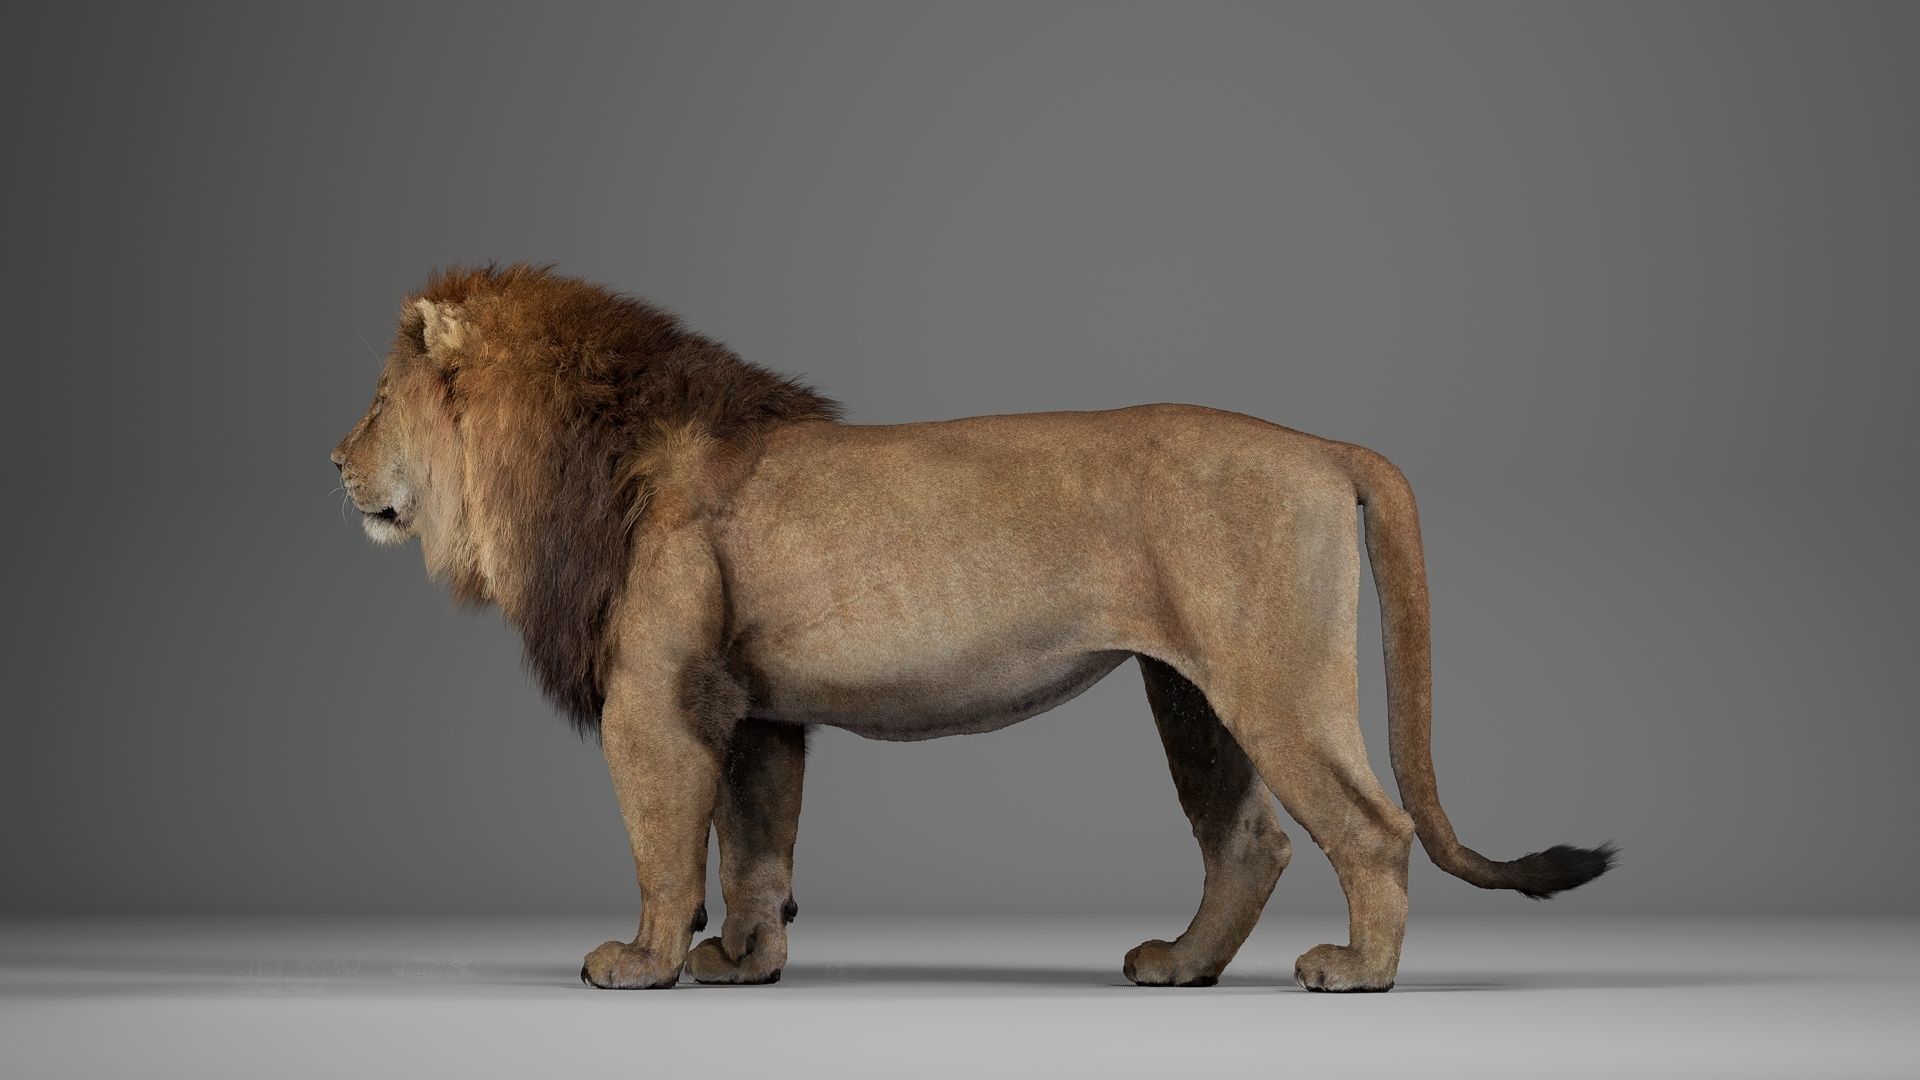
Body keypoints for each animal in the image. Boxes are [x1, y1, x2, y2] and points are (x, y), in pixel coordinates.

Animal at [332, 264, 1614, 992]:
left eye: (378, 403)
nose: (332, 461)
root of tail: (1326, 443)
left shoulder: (654, 697)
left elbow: (664, 848)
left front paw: (641, 965)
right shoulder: (752, 709)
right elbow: (754, 851)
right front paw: (744, 965)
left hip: (1273, 679)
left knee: (1373, 826)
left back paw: (1359, 975)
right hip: (1190, 693)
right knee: (1249, 841)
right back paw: (1179, 968)